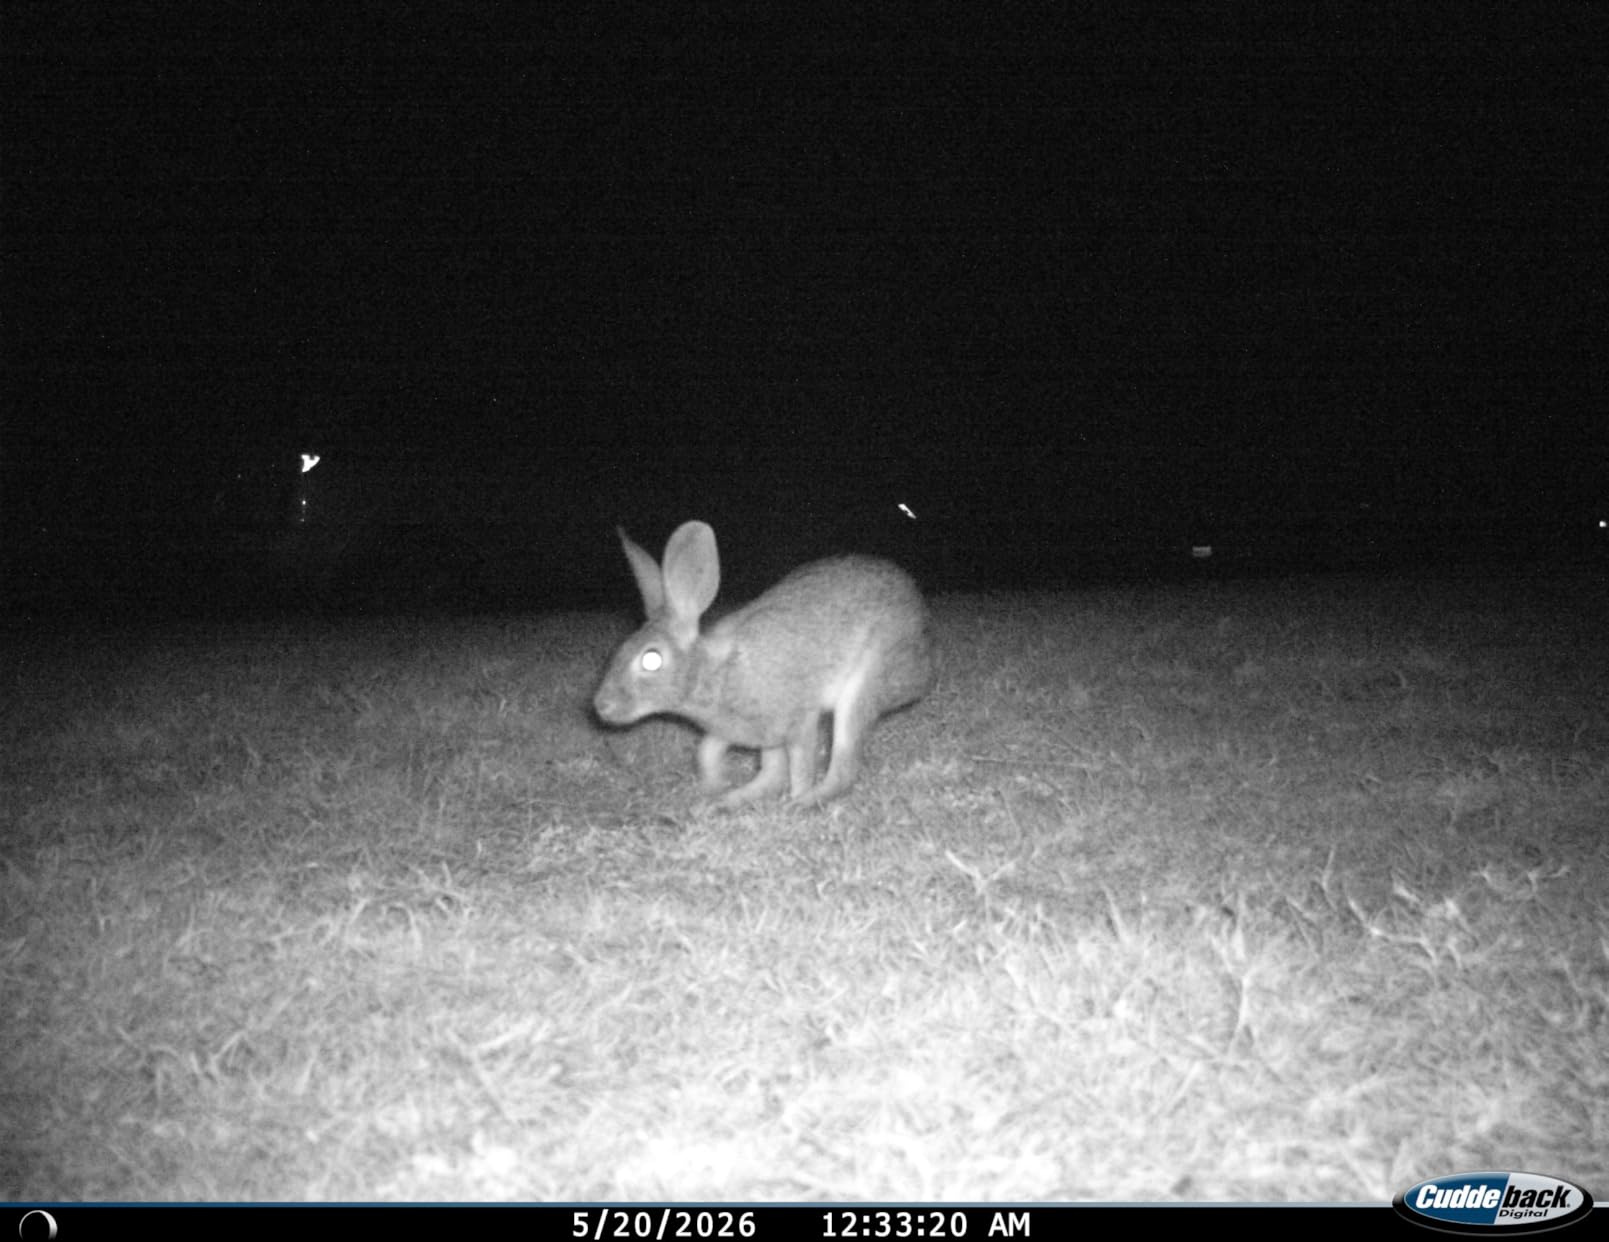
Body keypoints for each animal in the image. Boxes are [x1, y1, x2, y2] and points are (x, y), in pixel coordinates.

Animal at [593, 519, 934, 806]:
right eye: (620, 648)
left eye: (651, 659)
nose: (601, 705)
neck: (714, 674)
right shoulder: (743, 733)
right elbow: (709, 753)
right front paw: (714, 789)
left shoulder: (799, 719)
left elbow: (800, 765)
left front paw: (795, 798)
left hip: (866, 683)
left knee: (844, 767)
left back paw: (802, 804)